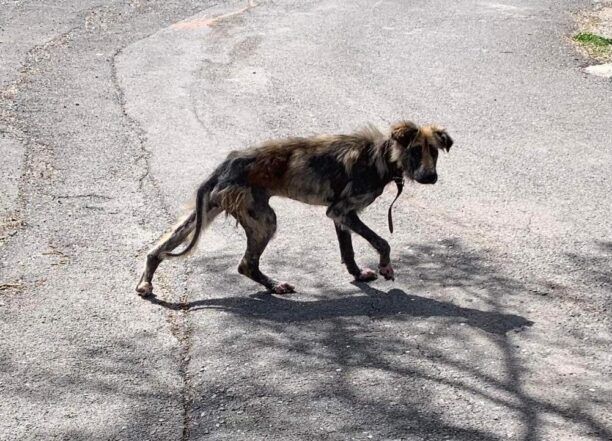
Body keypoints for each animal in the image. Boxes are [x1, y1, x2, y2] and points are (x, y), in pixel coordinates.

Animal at [139, 118, 454, 294]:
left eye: (435, 152)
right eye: (416, 151)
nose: (431, 178)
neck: (381, 155)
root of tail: (227, 163)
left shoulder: (340, 215)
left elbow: (348, 252)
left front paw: (357, 274)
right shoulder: (342, 211)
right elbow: (382, 242)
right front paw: (386, 267)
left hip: (204, 215)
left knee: (156, 249)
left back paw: (146, 283)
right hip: (265, 221)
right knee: (245, 264)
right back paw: (275, 286)